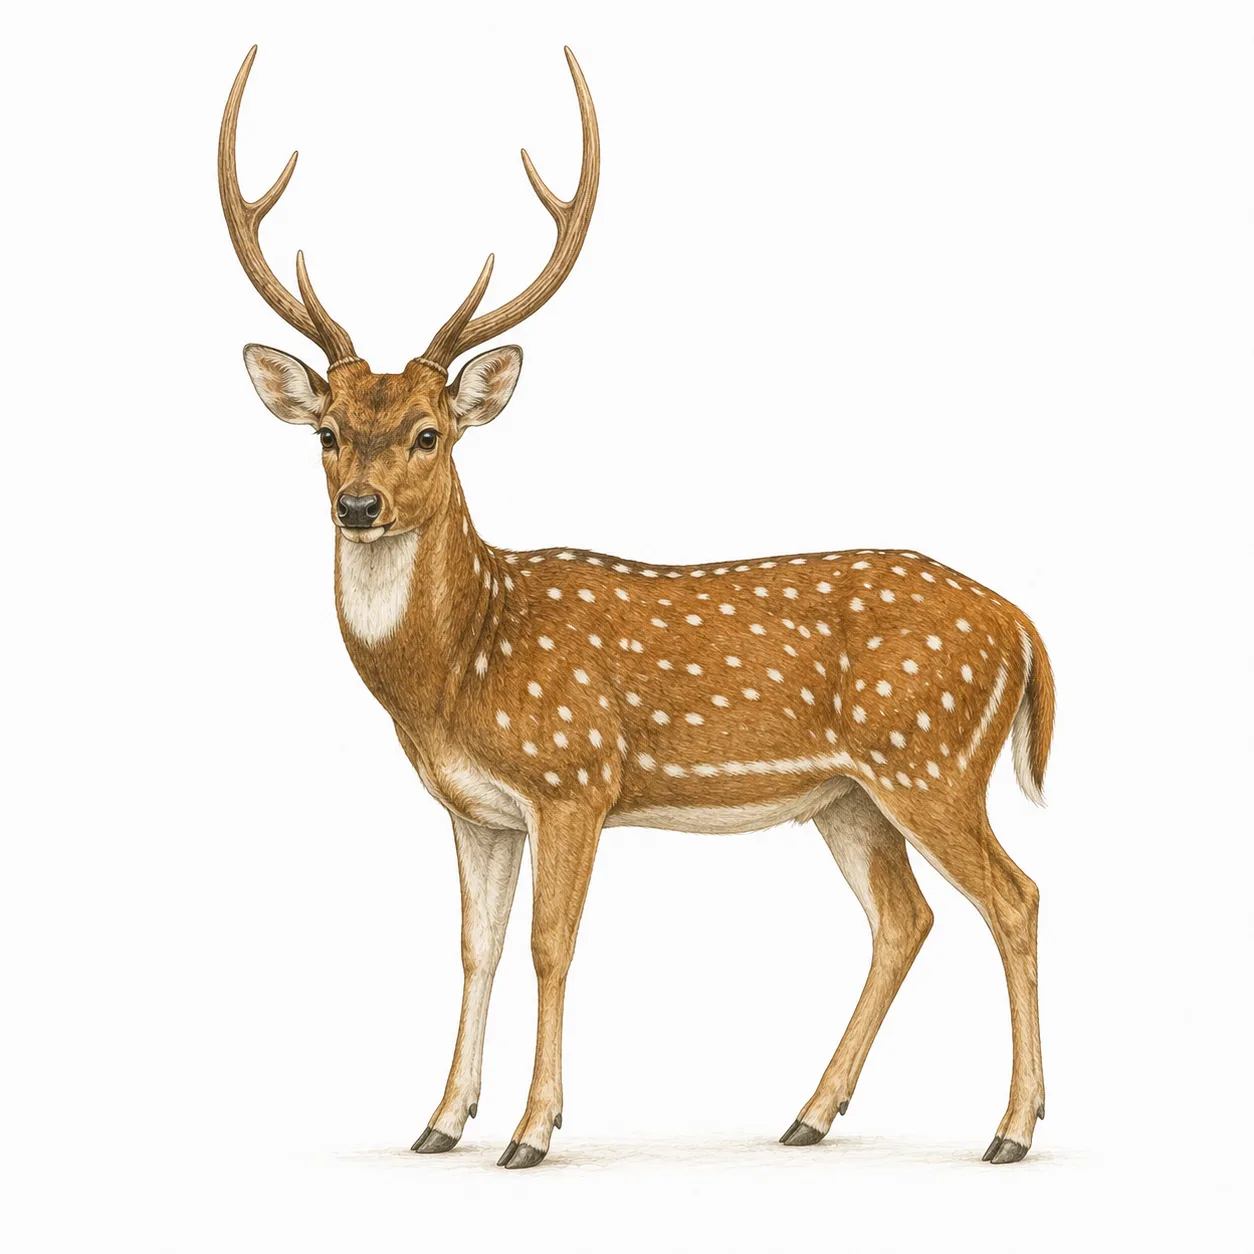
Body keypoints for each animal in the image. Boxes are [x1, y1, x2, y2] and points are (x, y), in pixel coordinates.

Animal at [221, 45, 1056, 1170]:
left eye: (431, 433)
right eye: (326, 434)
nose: (359, 506)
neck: (457, 670)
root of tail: (1022, 624)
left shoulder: (574, 775)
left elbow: (550, 944)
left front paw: (532, 1131)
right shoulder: (477, 809)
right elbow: (475, 946)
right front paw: (439, 1121)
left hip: (931, 759)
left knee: (1013, 896)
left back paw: (1010, 1128)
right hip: (849, 793)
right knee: (905, 918)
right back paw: (809, 1113)